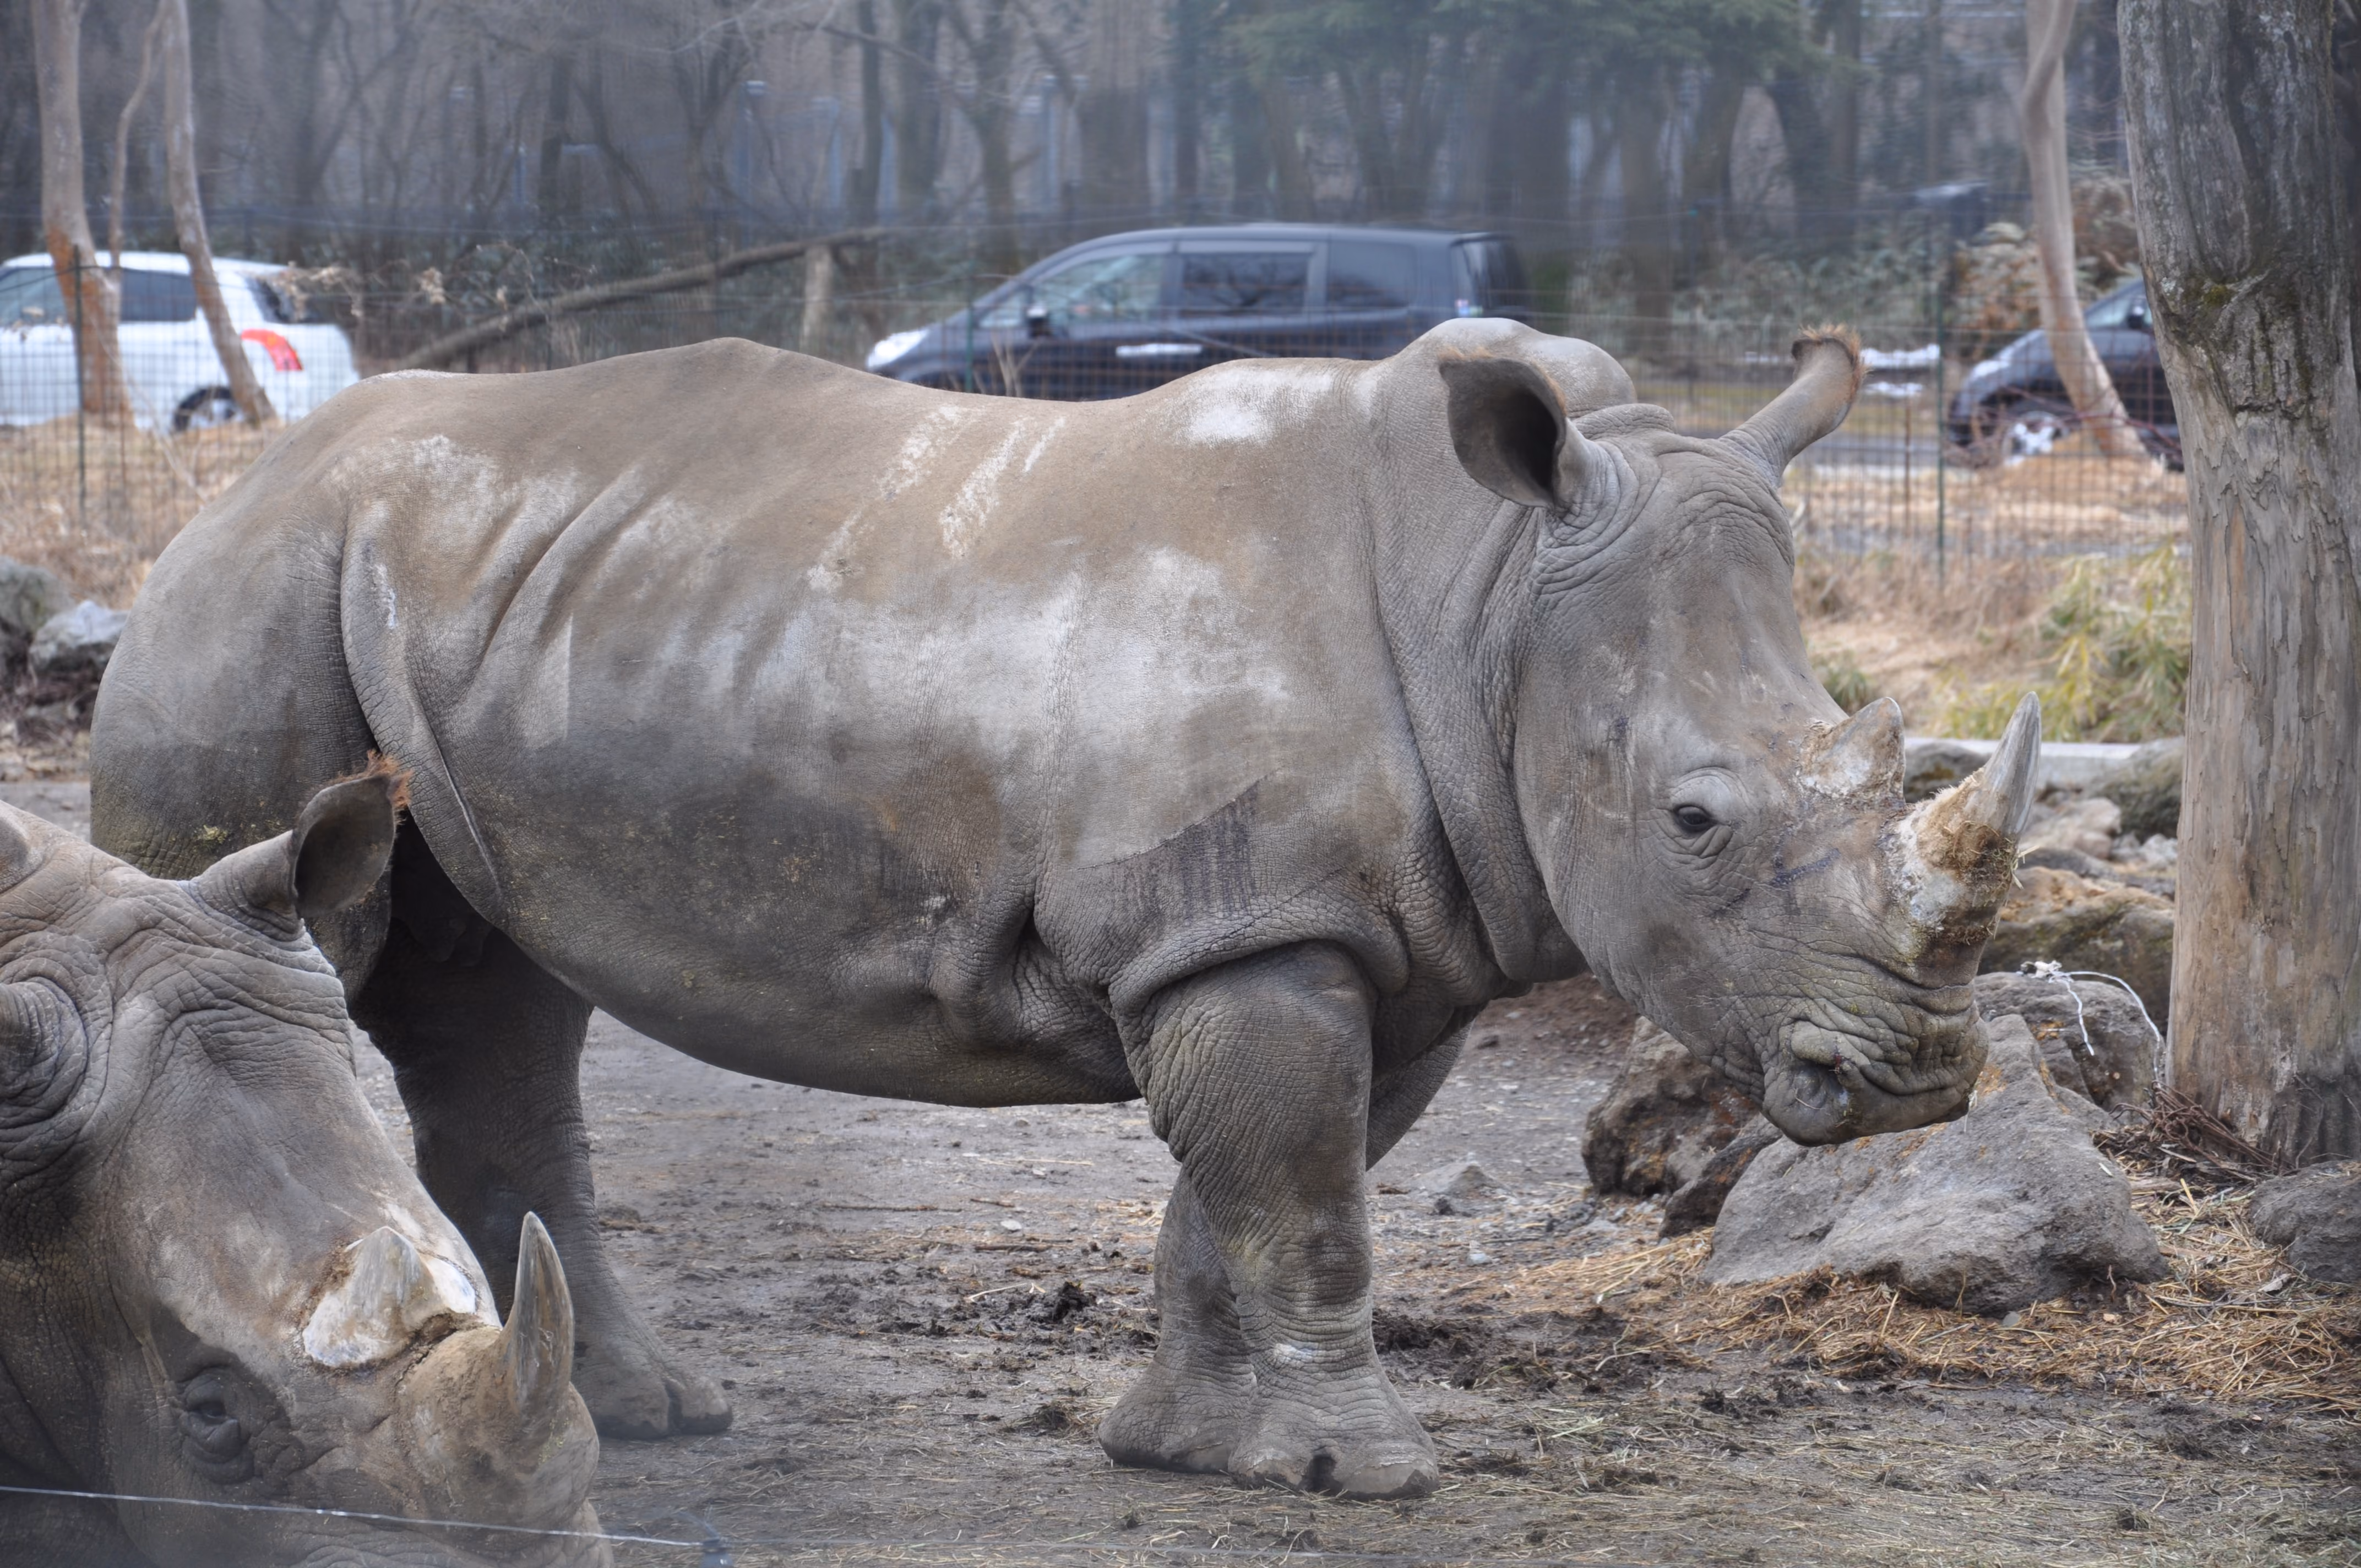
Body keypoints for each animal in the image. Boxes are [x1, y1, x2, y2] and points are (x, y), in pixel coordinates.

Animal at [90, 318, 2040, 1501]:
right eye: (1696, 821)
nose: (1923, 1076)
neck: (1493, 593)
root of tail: (232, 481)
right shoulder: (1252, 927)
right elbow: (1303, 1193)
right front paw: (1367, 1472)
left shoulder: (1360, 936)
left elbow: (1252, 1193)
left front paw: (1189, 1450)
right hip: (253, 601)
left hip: (440, 602)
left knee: (494, 1000)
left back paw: (636, 1421)